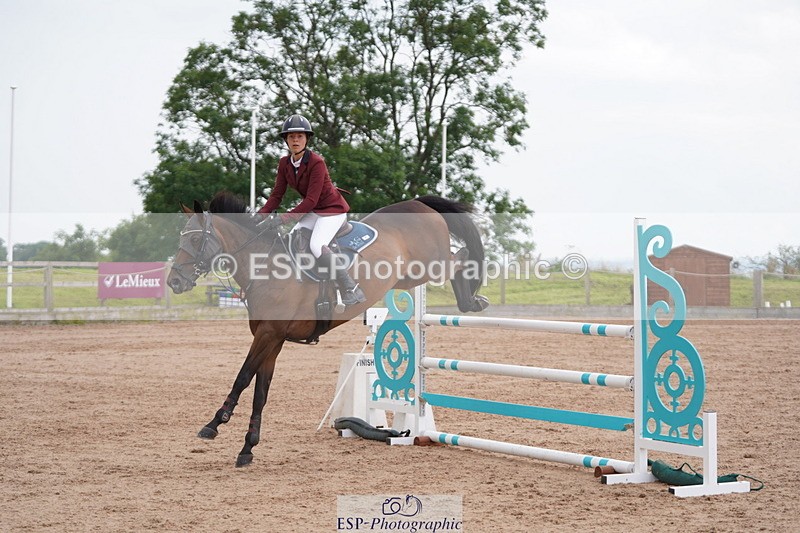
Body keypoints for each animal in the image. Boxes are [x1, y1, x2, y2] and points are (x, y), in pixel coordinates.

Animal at [167, 192, 488, 467]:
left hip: (431, 264)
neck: (265, 269)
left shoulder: (268, 334)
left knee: (460, 258)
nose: (174, 282)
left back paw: (472, 299)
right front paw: (248, 448)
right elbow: (260, 391)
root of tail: (418, 203)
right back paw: (470, 301)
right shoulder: (273, 339)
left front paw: (213, 424)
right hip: (410, 276)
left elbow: (243, 377)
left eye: (195, 239)